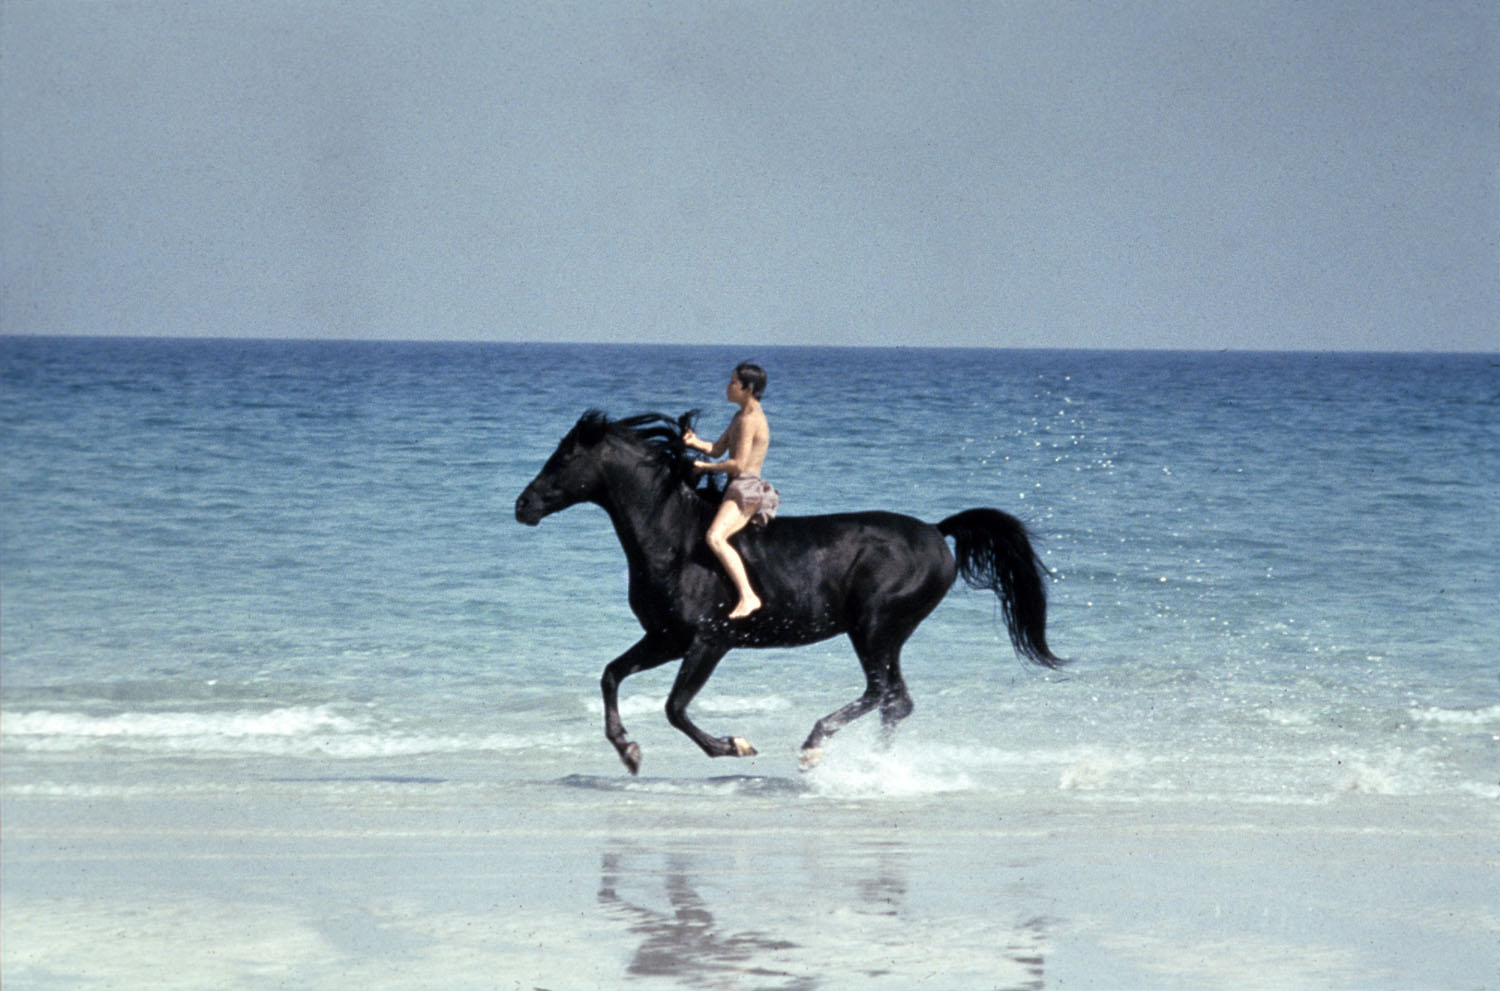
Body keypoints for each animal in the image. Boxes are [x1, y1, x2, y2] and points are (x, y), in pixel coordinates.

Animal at [514, 410, 1063, 775]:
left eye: (564, 457)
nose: (523, 506)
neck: (675, 537)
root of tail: (936, 531)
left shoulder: (709, 641)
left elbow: (675, 707)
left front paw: (736, 746)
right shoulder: (666, 638)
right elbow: (611, 675)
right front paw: (628, 751)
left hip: (874, 628)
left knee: (882, 693)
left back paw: (814, 747)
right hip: (885, 635)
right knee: (896, 701)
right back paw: (875, 765)